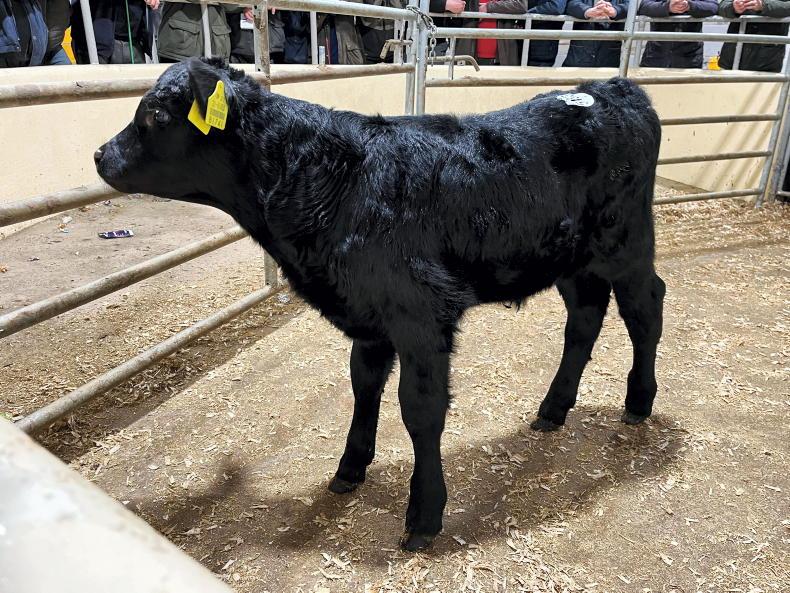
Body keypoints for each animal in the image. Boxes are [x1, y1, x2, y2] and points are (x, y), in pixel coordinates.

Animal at [95, 58, 665, 551]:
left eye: (157, 114)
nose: (100, 154)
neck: (331, 181)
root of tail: (614, 87)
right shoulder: (368, 319)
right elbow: (364, 388)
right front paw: (349, 469)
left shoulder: (423, 316)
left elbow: (420, 411)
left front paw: (425, 515)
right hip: (571, 259)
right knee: (585, 318)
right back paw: (554, 409)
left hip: (626, 243)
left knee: (646, 309)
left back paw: (638, 401)